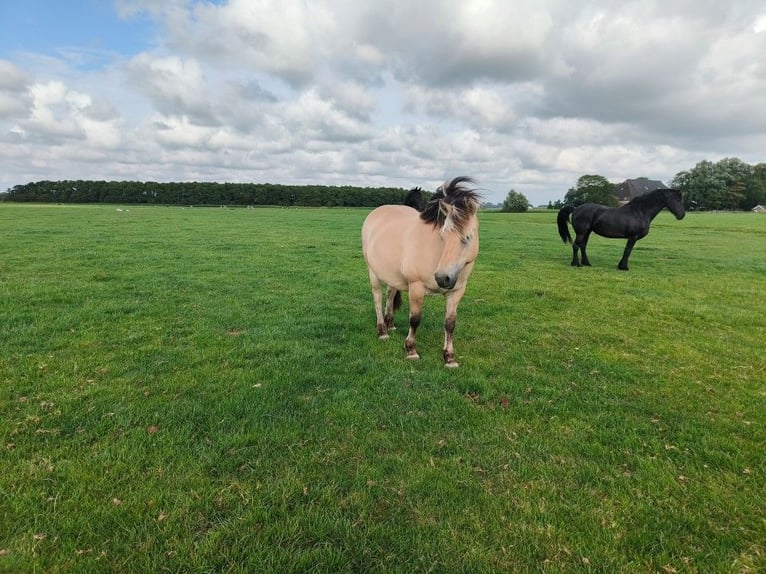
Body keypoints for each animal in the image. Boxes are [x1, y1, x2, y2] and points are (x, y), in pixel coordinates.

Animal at [361, 176, 481, 367]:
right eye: (443, 235)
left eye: (467, 238)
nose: (442, 278)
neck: (437, 253)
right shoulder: (416, 287)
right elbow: (415, 319)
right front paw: (411, 350)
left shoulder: (456, 292)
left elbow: (450, 323)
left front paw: (449, 357)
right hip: (373, 272)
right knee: (378, 297)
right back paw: (382, 331)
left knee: (389, 294)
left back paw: (390, 324)